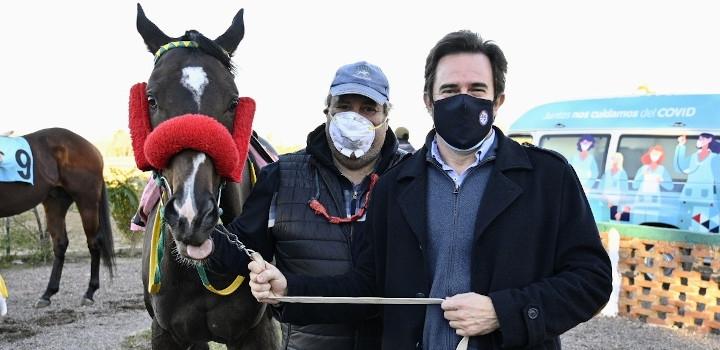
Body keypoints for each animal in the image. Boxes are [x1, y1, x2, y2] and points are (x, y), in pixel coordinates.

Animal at [0, 128, 114, 306]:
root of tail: (93, 149)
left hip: (87, 202)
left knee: (94, 243)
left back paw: (89, 293)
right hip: (55, 202)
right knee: (61, 244)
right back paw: (47, 294)